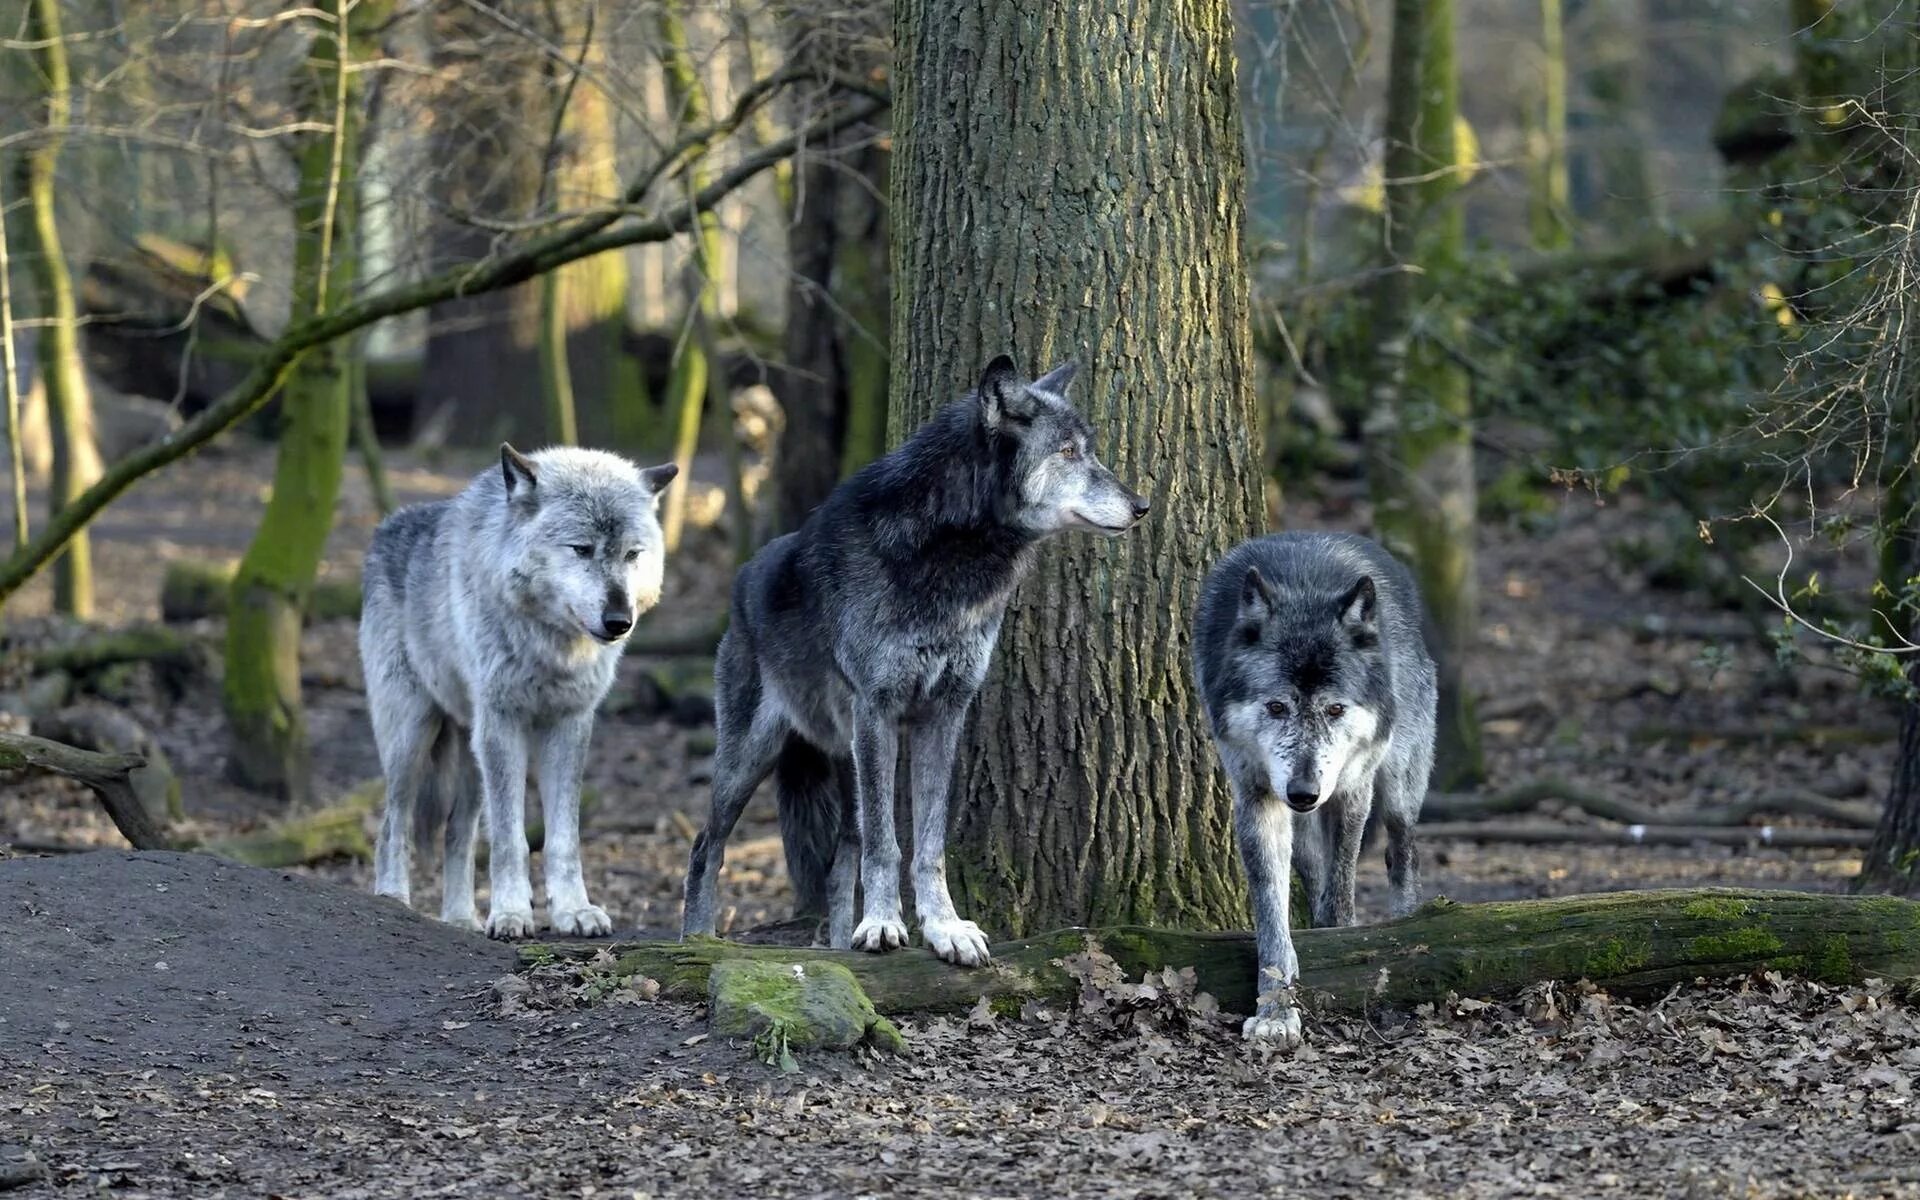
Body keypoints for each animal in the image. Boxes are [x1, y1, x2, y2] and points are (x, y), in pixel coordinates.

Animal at [362, 439, 679, 936]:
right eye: (581, 549)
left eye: (632, 554)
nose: (619, 621)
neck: (553, 647)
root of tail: (385, 526)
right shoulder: (503, 725)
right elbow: (510, 839)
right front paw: (511, 913)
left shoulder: (570, 725)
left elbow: (563, 839)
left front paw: (574, 911)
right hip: (414, 737)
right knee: (394, 821)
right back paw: (394, 898)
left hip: (471, 753)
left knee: (458, 833)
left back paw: (461, 919)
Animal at [683, 353, 1144, 963]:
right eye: (1068, 451)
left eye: (1088, 449)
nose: (1142, 506)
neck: (950, 554)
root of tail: (741, 578)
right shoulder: (879, 710)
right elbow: (887, 844)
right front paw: (883, 924)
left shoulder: (944, 713)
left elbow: (926, 844)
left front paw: (945, 928)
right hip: (752, 758)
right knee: (705, 845)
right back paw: (698, 939)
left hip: (844, 757)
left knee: (840, 861)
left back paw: (837, 947)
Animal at [1190, 529, 1436, 1044]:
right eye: (1277, 707)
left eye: (1335, 709)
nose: (1304, 792)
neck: (1303, 588)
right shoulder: (1258, 797)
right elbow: (1271, 910)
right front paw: (1276, 1010)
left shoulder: (1351, 790)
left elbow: (1342, 888)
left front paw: (1342, 952)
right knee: (1312, 867)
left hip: (1399, 783)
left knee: (1401, 851)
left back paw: (1408, 921)